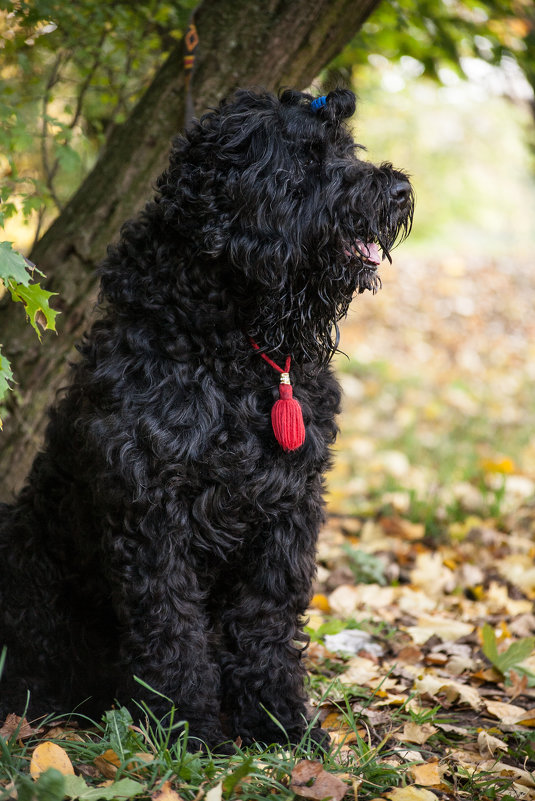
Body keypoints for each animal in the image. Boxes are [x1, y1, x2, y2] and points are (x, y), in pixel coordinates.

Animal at [0, 89, 414, 752]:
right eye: (307, 158)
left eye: (348, 150)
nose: (398, 189)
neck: (231, 353)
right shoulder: (153, 511)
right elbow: (171, 628)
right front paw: (186, 727)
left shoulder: (287, 510)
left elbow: (265, 623)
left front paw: (276, 721)